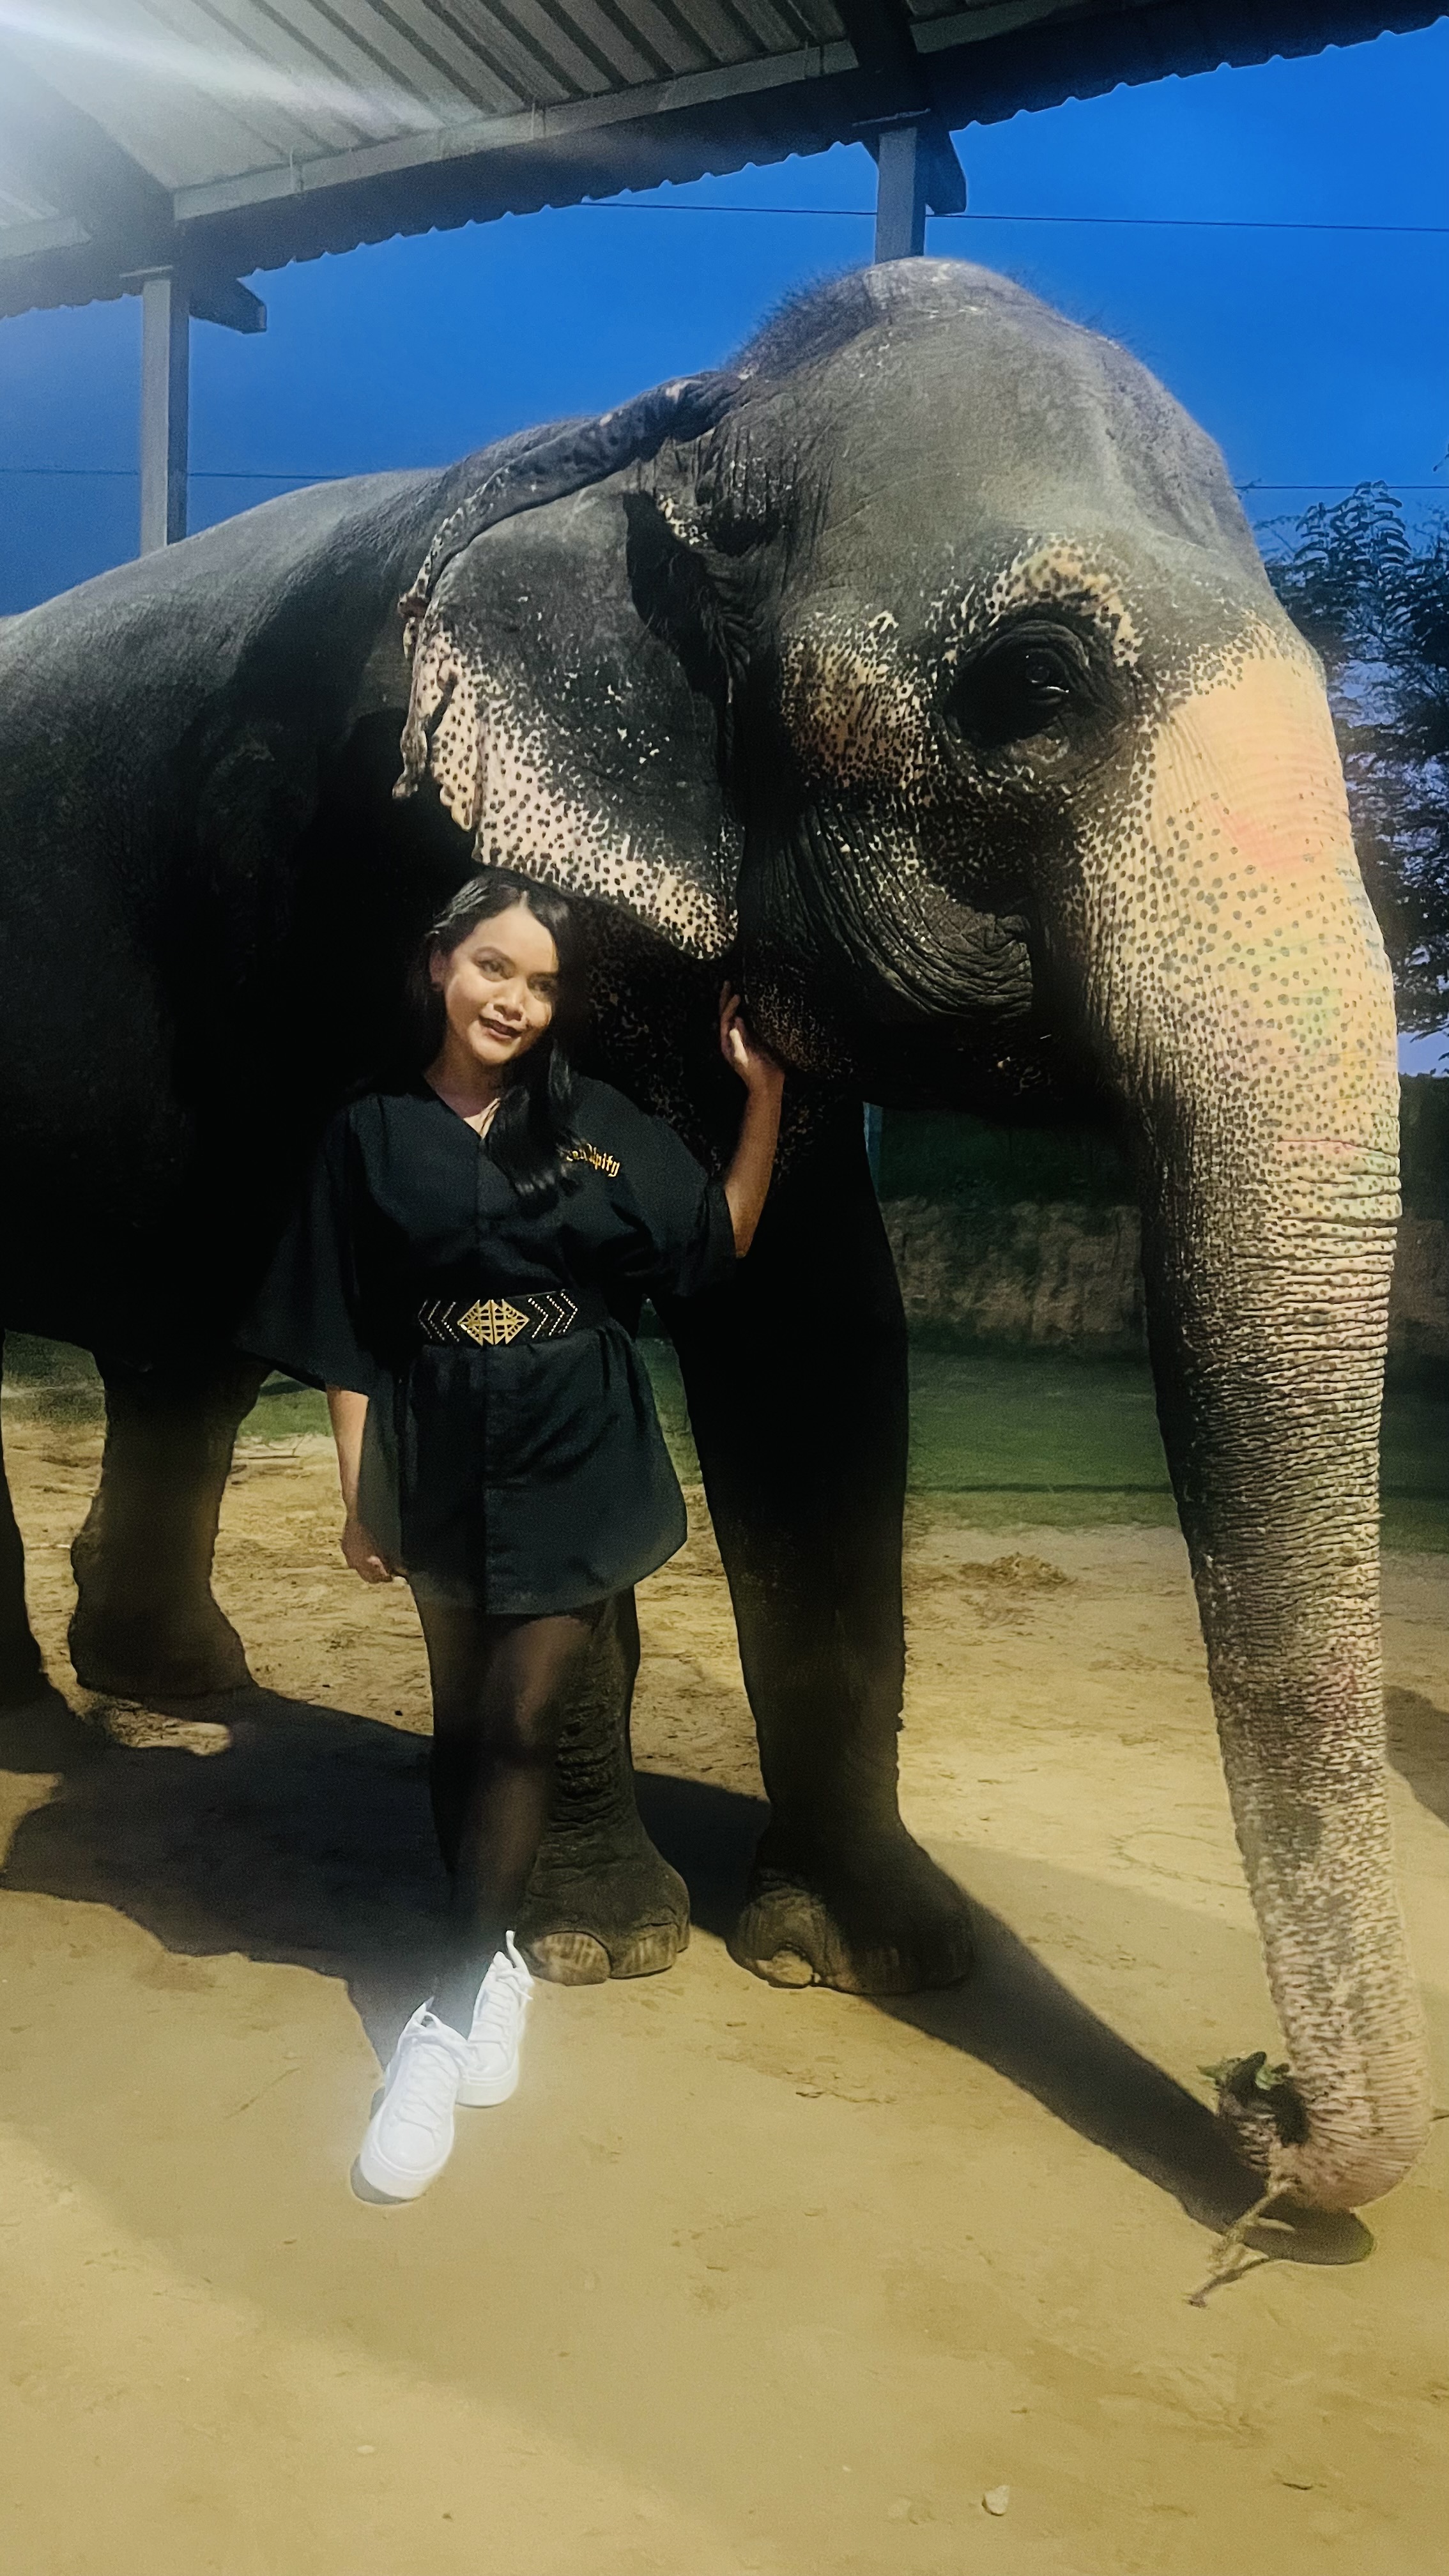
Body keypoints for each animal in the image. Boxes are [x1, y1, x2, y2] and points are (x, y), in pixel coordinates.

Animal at [0, 257, 1427, 2218]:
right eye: (1032, 682)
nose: (1258, 2112)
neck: (662, 430)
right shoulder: (373, 863)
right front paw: (602, 1943)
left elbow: (819, 1346)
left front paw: (880, 1954)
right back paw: (32, 1734)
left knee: (183, 1359)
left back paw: (173, 1689)